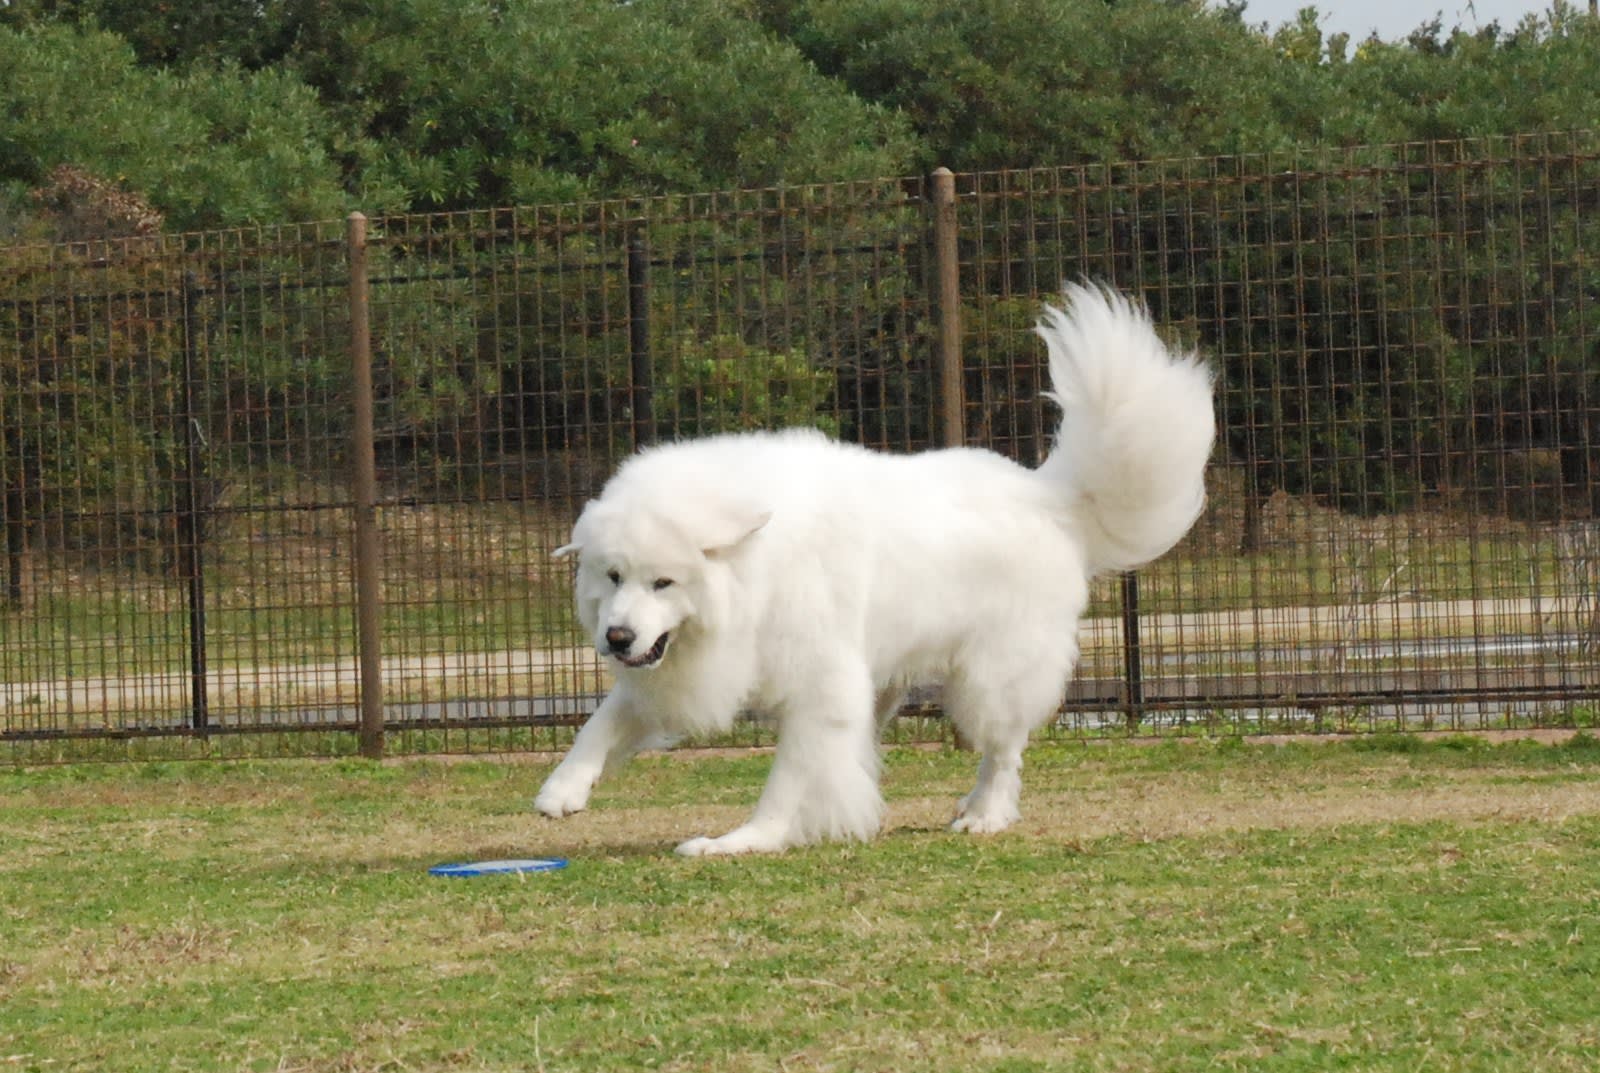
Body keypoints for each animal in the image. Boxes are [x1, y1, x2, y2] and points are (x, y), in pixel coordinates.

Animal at [537, 283, 1209, 857]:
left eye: (664, 582)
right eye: (613, 577)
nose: (616, 637)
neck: (759, 569)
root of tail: (1048, 494)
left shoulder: (820, 689)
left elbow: (791, 781)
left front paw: (748, 840)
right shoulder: (683, 670)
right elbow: (605, 718)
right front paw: (563, 788)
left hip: (989, 680)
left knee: (1003, 751)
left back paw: (984, 813)